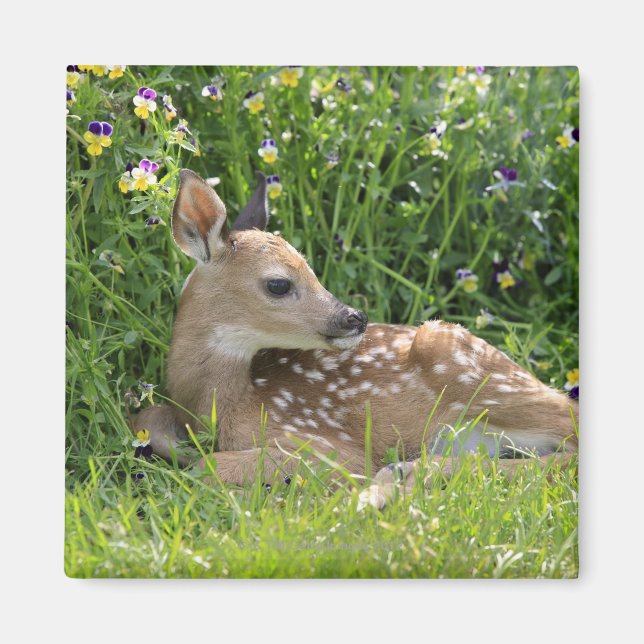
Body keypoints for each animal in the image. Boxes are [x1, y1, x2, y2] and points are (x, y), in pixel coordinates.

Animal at [133, 169, 578, 509]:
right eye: (278, 283)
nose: (355, 317)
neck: (221, 406)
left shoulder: (329, 445)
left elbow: (205, 468)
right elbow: (151, 419)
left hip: (467, 364)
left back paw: (390, 483)